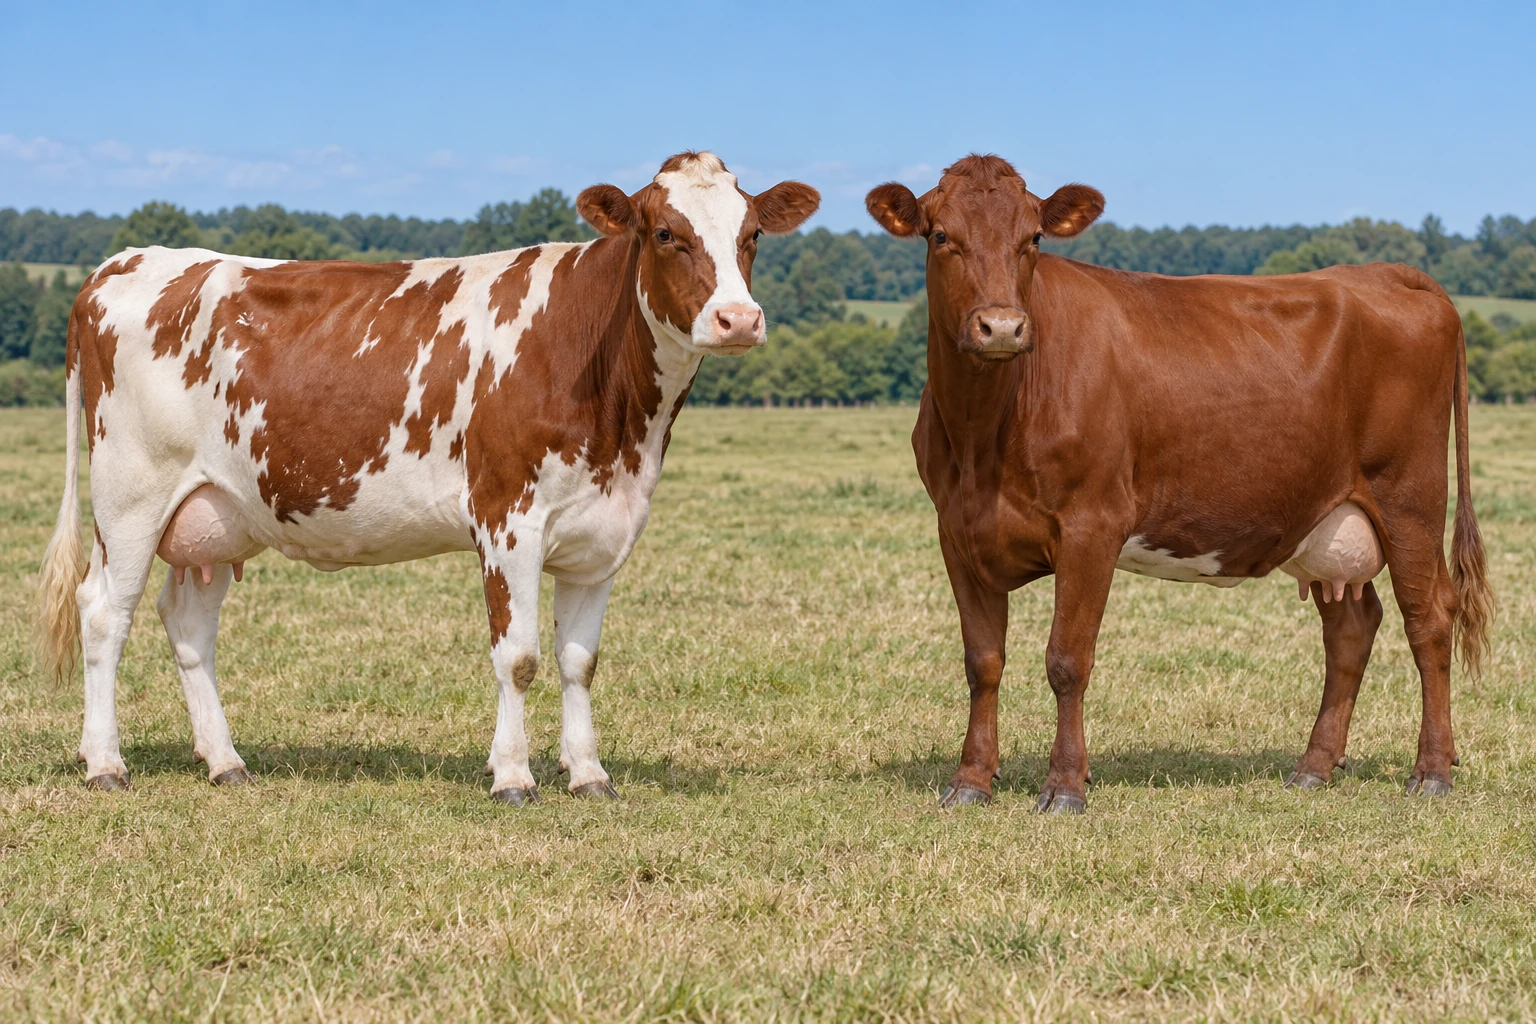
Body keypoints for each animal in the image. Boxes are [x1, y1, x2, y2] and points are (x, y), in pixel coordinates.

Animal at [37, 151, 819, 804]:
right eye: (664, 232)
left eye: (751, 234)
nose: (738, 318)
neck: (621, 419)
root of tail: (125, 261)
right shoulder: (507, 520)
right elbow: (519, 658)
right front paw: (513, 777)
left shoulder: (602, 533)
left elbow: (578, 662)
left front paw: (589, 773)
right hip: (130, 495)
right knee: (104, 613)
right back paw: (105, 763)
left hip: (216, 512)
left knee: (190, 624)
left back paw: (225, 761)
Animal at [865, 154, 1492, 813]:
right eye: (941, 236)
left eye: (1033, 238)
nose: (1004, 327)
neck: (982, 436)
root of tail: (1388, 272)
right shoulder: (957, 530)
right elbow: (982, 661)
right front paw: (970, 781)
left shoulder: (1092, 525)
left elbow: (1067, 660)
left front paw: (1064, 785)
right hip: (1328, 517)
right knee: (1351, 627)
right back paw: (1314, 766)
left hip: (1409, 498)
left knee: (1430, 619)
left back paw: (1431, 772)